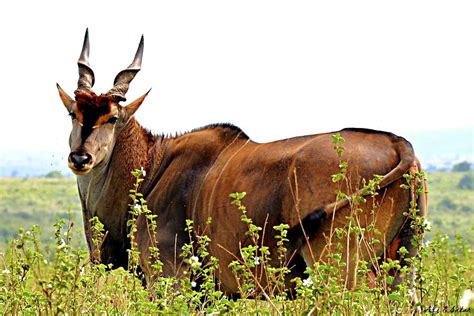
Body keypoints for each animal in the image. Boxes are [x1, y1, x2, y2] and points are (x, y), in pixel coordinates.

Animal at [57, 29, 428, 294]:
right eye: (74, 113)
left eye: (113, 119)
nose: (80, 157)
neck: (153, 166)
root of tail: (400, 145)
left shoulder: (171, 279)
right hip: (402, 268)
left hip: (336, 269)